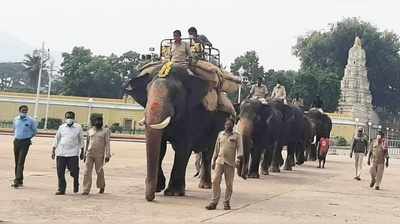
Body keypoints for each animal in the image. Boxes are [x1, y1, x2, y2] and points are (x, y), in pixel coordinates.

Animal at [126, 66, 230, 201]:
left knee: (208, 151)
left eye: (175, 94)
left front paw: (173, 193)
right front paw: (158, 188)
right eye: (147, 92)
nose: (150, 198)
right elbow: (161, 148)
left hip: (217, 124)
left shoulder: (192, 114)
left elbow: (183, 148)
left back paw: (205, 186)